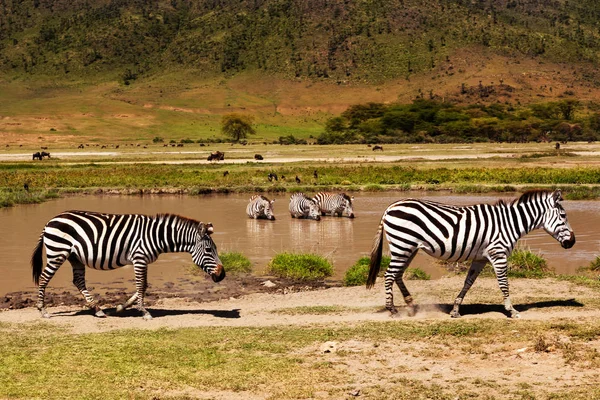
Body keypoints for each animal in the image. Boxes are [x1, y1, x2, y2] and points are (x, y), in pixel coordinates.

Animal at [29, 211, 225, 320]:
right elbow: (141, 285)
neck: (157, 236)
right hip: (58, 252)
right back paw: (42, 310)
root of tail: (50, 221)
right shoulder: (139, 258)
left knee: (78, 281)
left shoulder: (143, 260)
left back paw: (97, 310)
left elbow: (144, 286)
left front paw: (121, 308)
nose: (222, 275)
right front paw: (144, 312)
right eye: (209, 249)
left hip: (75, 257)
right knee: (44, 278)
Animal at [368, 190, 576, 318]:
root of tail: (390, 207)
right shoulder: (498, 254)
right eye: (563, 216)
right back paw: (393, 310)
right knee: (389, 275)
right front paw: (512, 310)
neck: (510, 223)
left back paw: (411, 305)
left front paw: (455, 310)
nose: (572, 242)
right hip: (402, 245)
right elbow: (504, 284)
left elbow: (468, 282)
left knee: (398, 275)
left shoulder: (480, 258)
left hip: (408, 248)